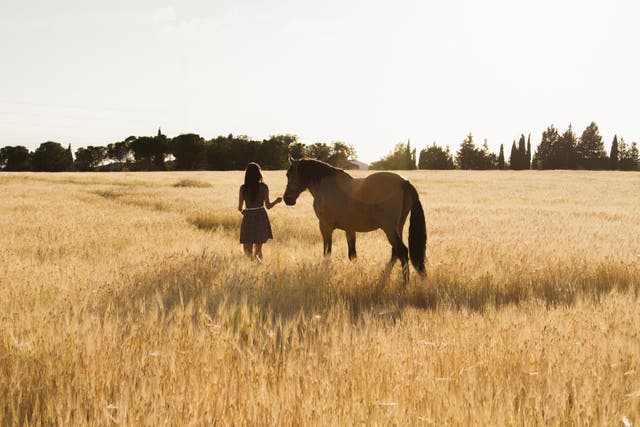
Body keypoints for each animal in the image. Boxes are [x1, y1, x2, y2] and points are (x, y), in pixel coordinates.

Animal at [284, 157, 424, 284]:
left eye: (289, 175)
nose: (287, 199)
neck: (326, 186)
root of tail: (404, 182)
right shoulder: (349, 229)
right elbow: (352, 255)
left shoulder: (325, 226)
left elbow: (327, 252)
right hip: (398, 226)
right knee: (395, 253)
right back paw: (384, 278)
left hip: (389, 228)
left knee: (402, 252)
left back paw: (404, 284)